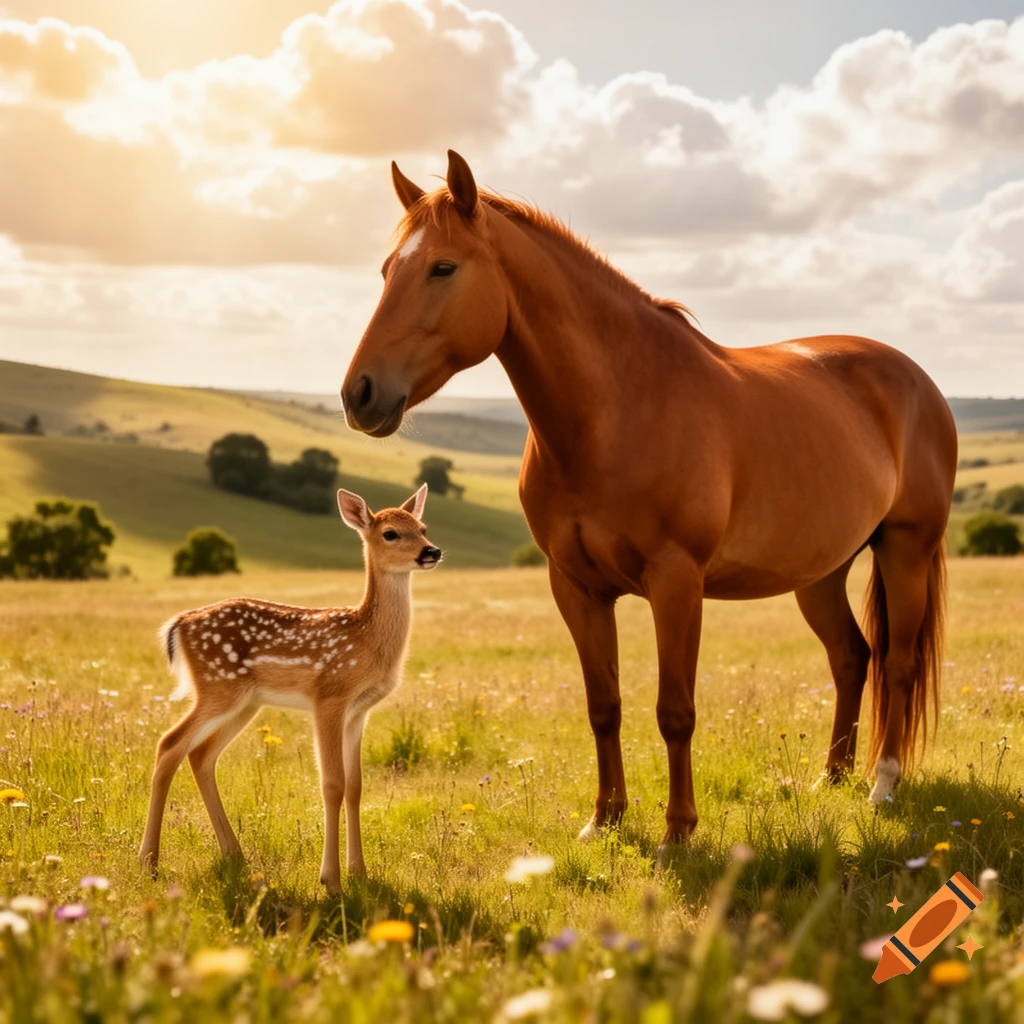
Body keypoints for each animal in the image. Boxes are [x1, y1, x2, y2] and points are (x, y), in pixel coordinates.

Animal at [139, 484, 440, 892]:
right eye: (390, 533)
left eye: (423, 528)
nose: (432, 551)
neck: (365, 640)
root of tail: (179, 624)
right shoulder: (328, 697)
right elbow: (332, 784)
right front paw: (331, 881)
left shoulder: (359, 711)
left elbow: (356, 786)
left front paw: (360, 872)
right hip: (219, 687)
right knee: (169, 743)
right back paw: (149, 861)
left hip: (245, 702)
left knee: (200, 754)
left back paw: (234, 853)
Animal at [341, 150, 957, 851]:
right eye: (387, 270)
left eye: (442, 267)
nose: (359, 394)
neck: (616, 411)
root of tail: (914, 378)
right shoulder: (575, 587)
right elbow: (603, 705)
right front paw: (604, 818)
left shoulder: (676, 582)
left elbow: (675, 709)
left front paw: (678, 831)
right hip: (821, 572)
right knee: (852, 657)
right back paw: (831, 779)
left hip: (905, 549)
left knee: (899, 663)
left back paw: (882, 786)